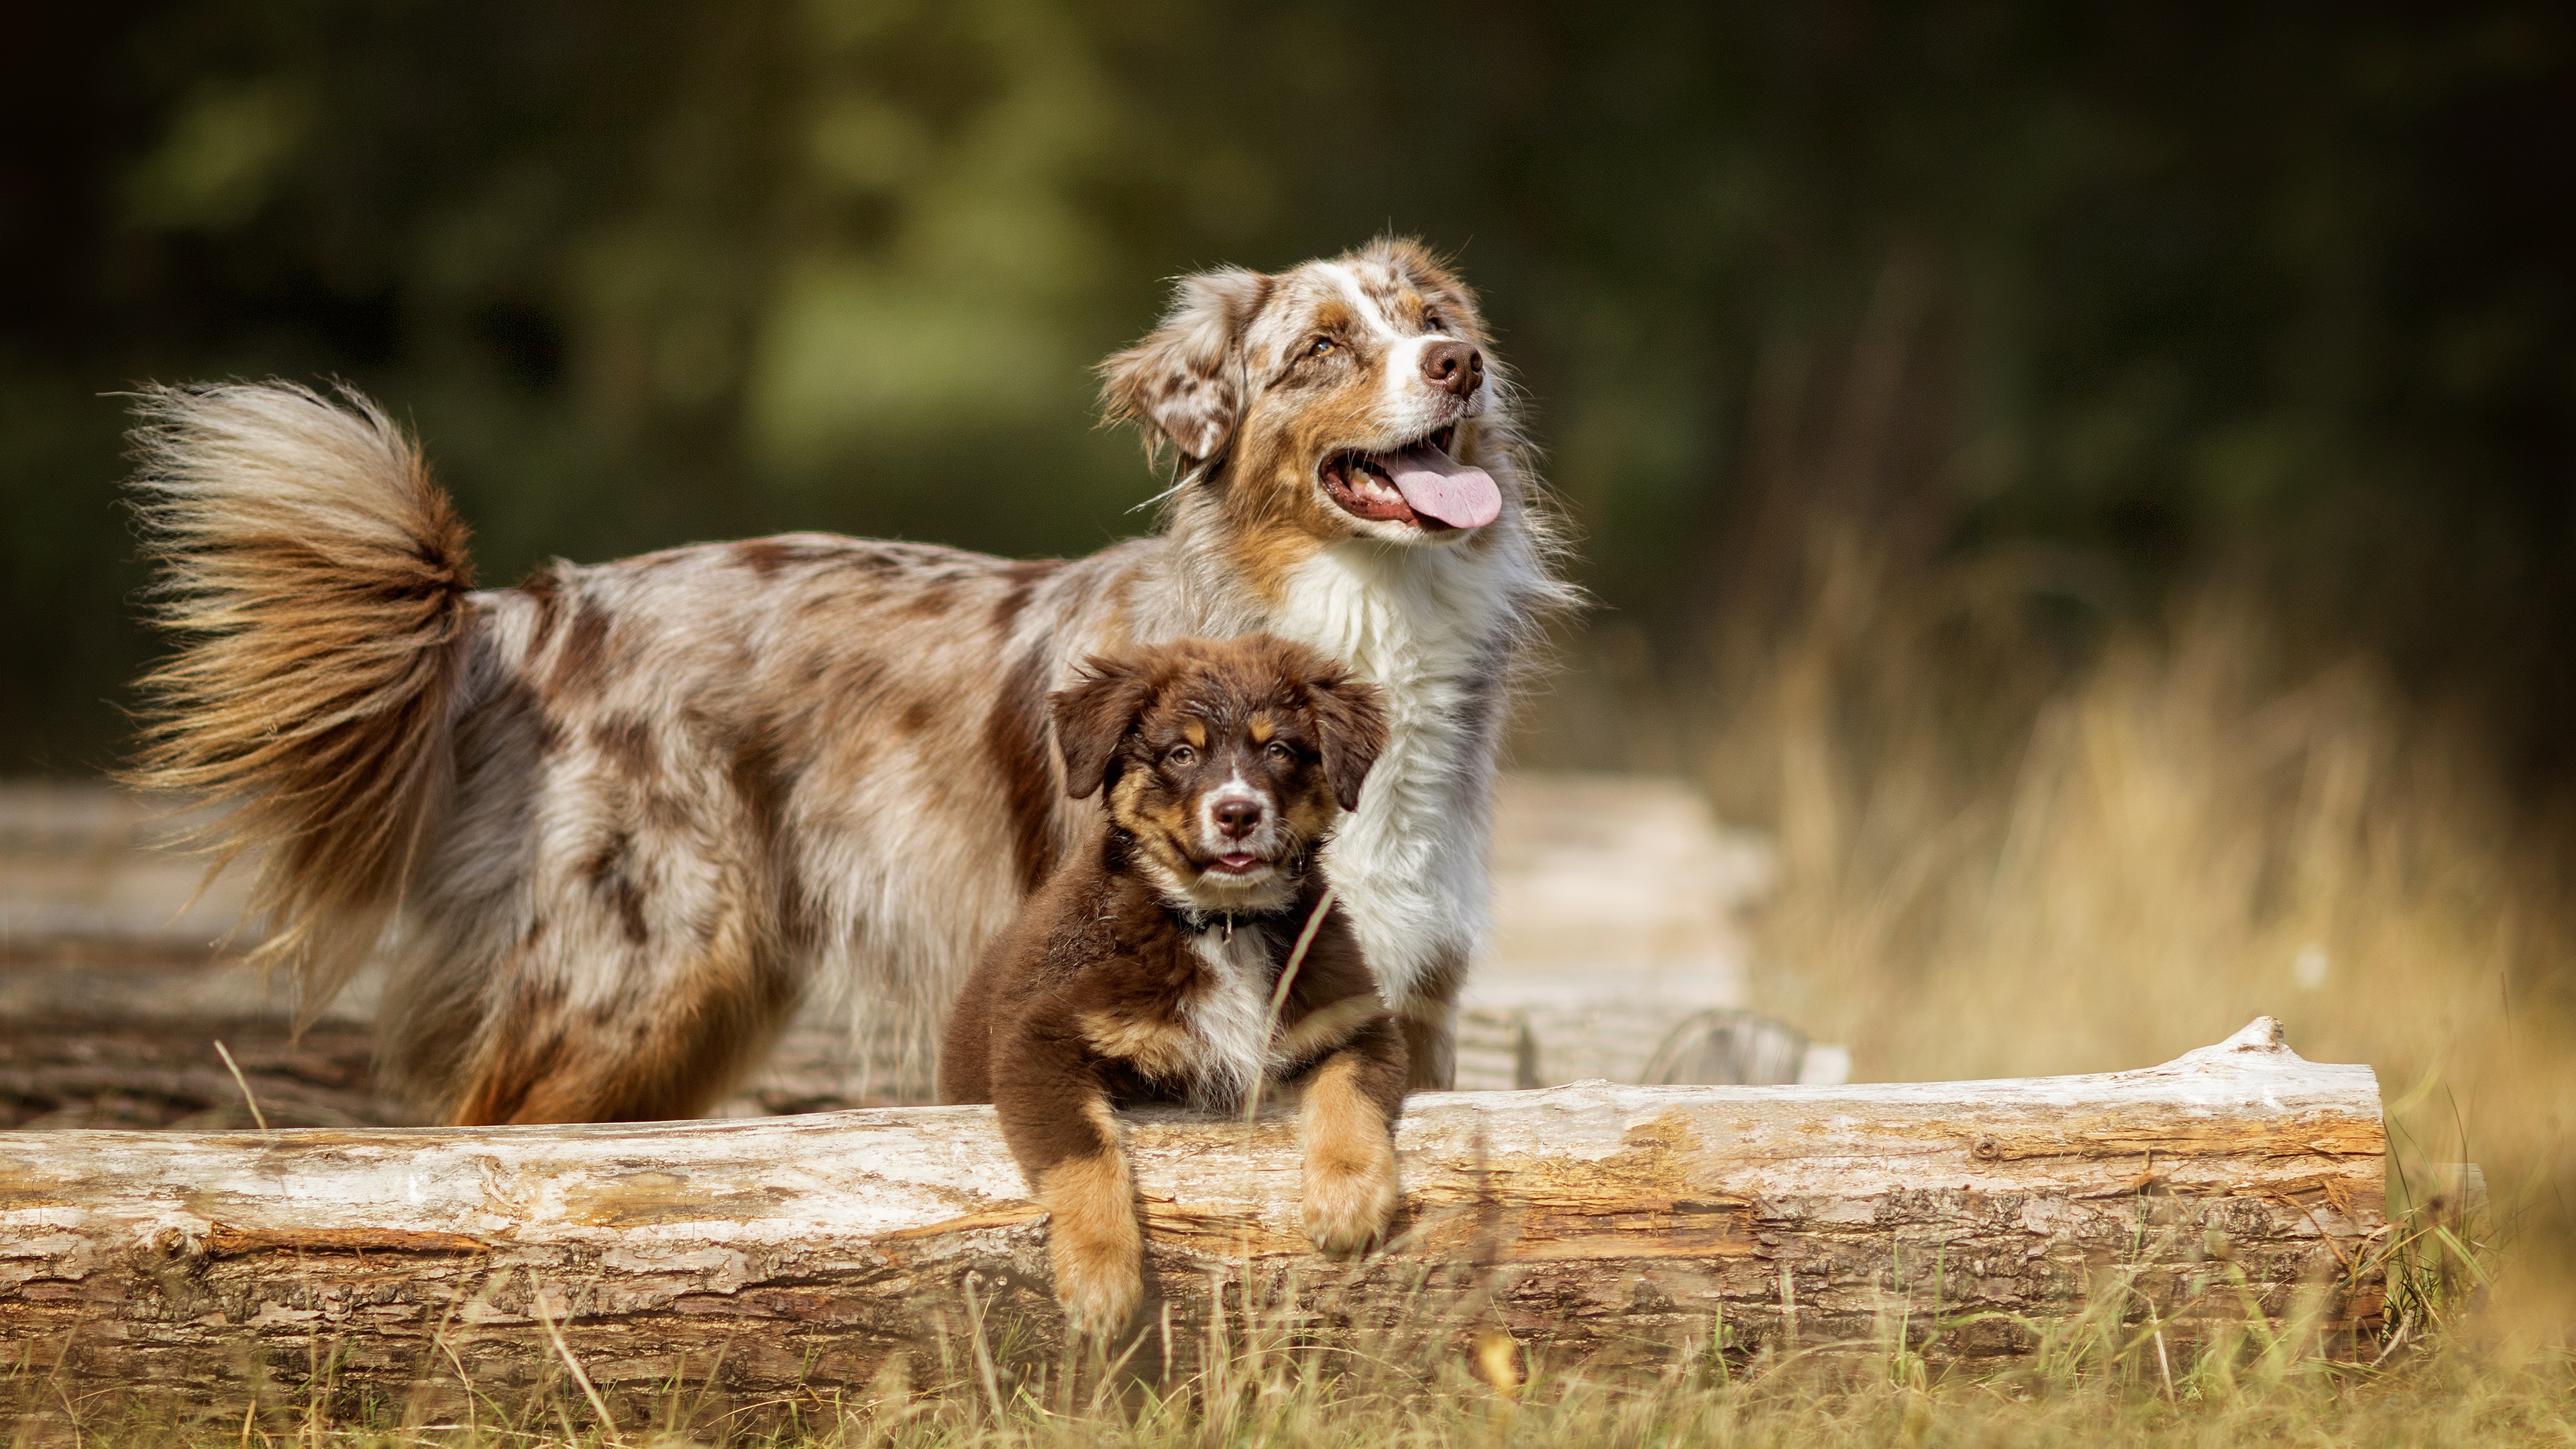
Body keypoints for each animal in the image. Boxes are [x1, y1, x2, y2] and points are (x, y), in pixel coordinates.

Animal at [136, 237, 1566, 1119]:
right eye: (1321, 350)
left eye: (1432, 323)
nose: (1462, 366)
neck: (1361, 613)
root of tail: (521, 613)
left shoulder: (1408, 991)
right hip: (633, 978)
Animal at [943, 637, 1401, 1340]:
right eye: (1182, 754)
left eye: (1279, 750)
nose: (1237, 813)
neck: (1222, 924)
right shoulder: (1039, 1041)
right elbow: (1084, 1153)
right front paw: (1101, 1281)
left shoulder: (1353, 1019)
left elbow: (1350, 1090)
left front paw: (1348, 1199)